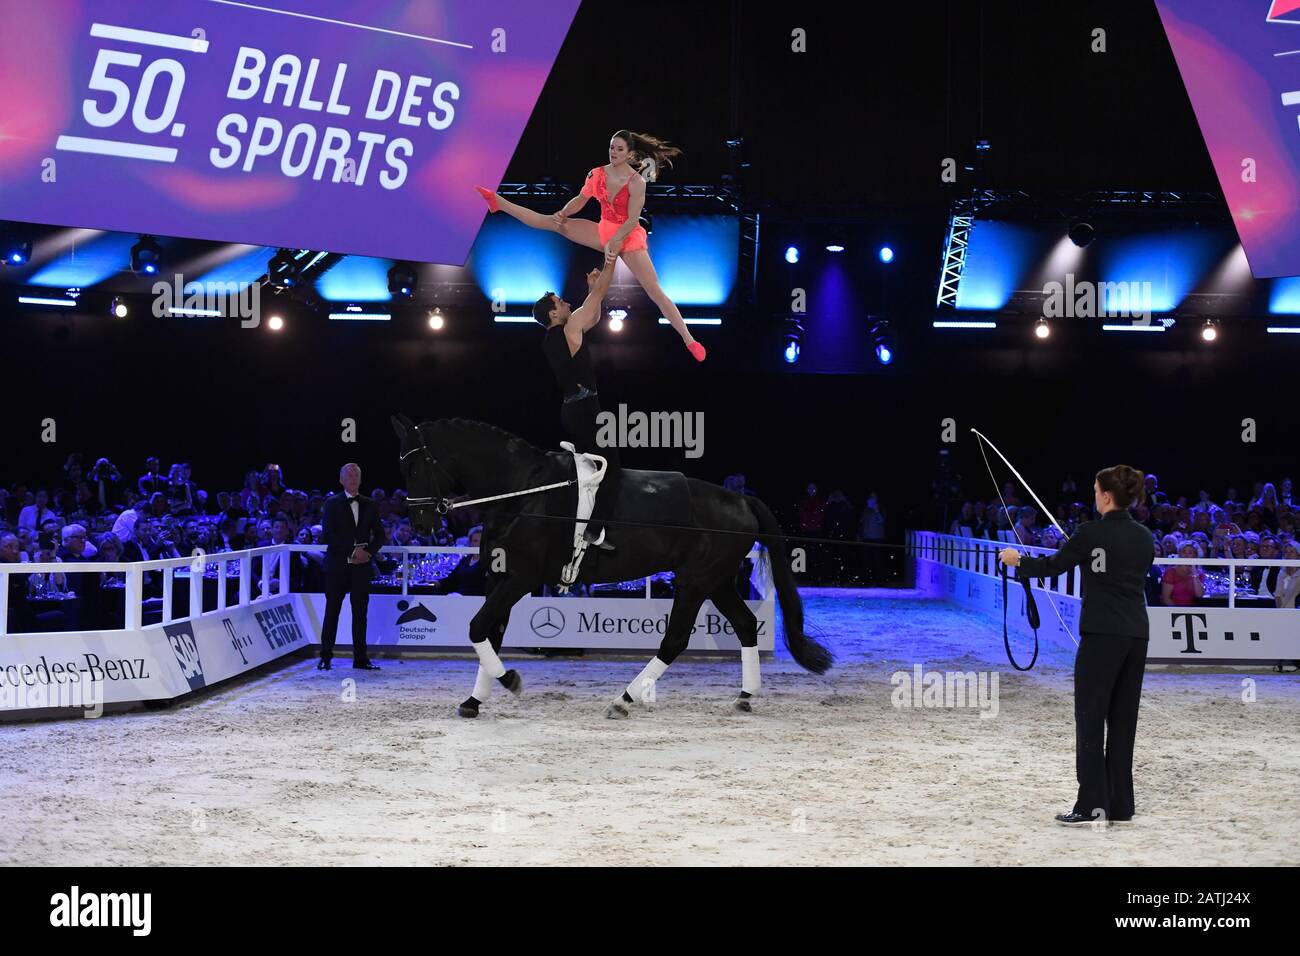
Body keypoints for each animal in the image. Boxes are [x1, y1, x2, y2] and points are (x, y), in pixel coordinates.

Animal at [390, 413, 832, 717]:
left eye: (414, 466)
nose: (421, 523)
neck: (524, 490)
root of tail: (740, 499)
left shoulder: (522, 577)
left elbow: (477, 626)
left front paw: (510, 680)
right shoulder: (498, 577)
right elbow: (489, 632)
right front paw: (474, 700)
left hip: (695, 580)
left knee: (675, 640)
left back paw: (624, 699)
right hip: (718, 581)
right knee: (744, 625)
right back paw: (744, 696)